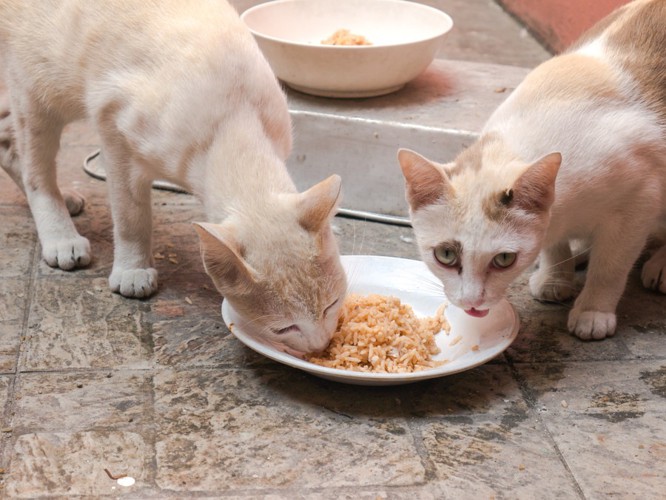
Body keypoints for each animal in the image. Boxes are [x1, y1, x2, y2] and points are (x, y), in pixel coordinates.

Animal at [0, 0, 342, 354]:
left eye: (331, 305)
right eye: (284, 328)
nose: (320, 346)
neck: (234, 118)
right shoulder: (114, 129)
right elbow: (131, 216)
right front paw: (133, 268)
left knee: (7, 137)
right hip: (38, 87)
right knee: (34, 166)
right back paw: (60, 234)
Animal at [396, 0, 660, 340]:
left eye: (504, 259)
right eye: (445, 256)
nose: (472, 302)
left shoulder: (641, 198)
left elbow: (611, 264)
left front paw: (593, 310)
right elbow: (552, 241)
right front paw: (555, 276)